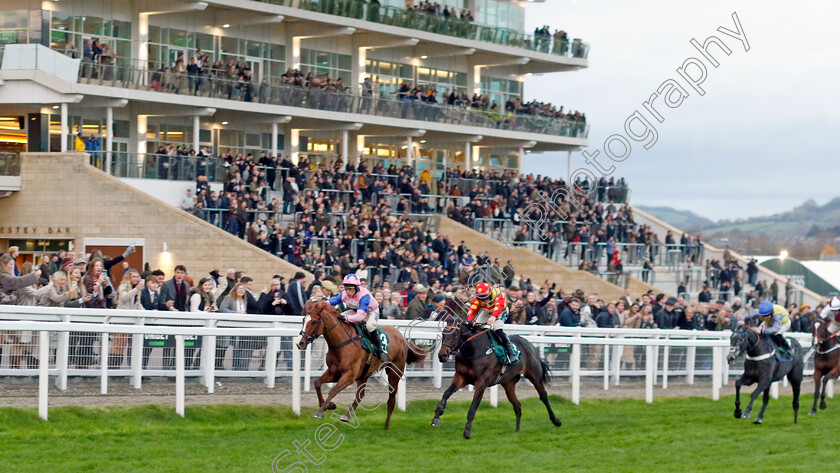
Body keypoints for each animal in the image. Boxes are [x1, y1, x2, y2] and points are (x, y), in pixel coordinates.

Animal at [296, 298, 426, 428]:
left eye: (314, 322)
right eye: (303, 320)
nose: (300, 343)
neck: (341, 343)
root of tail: (401, 336)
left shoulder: (349, 375)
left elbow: (333, 390)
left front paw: (320, 412)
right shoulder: (334, 372)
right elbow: (317, 383)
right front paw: (329, 405)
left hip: (394, 371)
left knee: (391, 398)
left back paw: (386, 426)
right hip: (364, 373)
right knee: (361, 394)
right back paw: (346, 416)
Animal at [430, 314, 560, 438]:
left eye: (456, 335)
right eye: (443, 334)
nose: (442, 355)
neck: (474, 351)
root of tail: (530, 345)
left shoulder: (481, 383)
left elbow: (472, 408)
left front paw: (467, 432)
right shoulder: (460, 377)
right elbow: (446, 394)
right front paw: (436, 416)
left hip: (535, 376)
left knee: (543, 396)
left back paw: (556, 421)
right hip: (508, 383)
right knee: (517, 405)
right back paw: (517, 431)